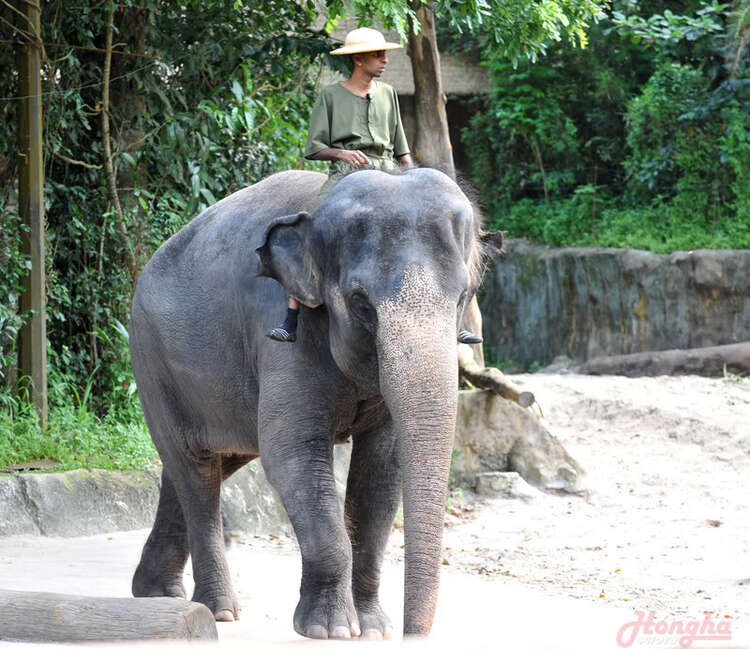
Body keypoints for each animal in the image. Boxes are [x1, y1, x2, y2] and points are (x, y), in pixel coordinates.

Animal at [131, 167, 500, 636]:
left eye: (462, 298)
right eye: (361, 304)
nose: (412, 635)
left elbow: (384, 469)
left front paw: (372, 628)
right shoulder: (285, 332)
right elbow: (291, 454)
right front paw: (332, 630)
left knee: (205, 464)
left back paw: (155, 593)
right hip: (152, 359)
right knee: (194, 470)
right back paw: (219, 610)